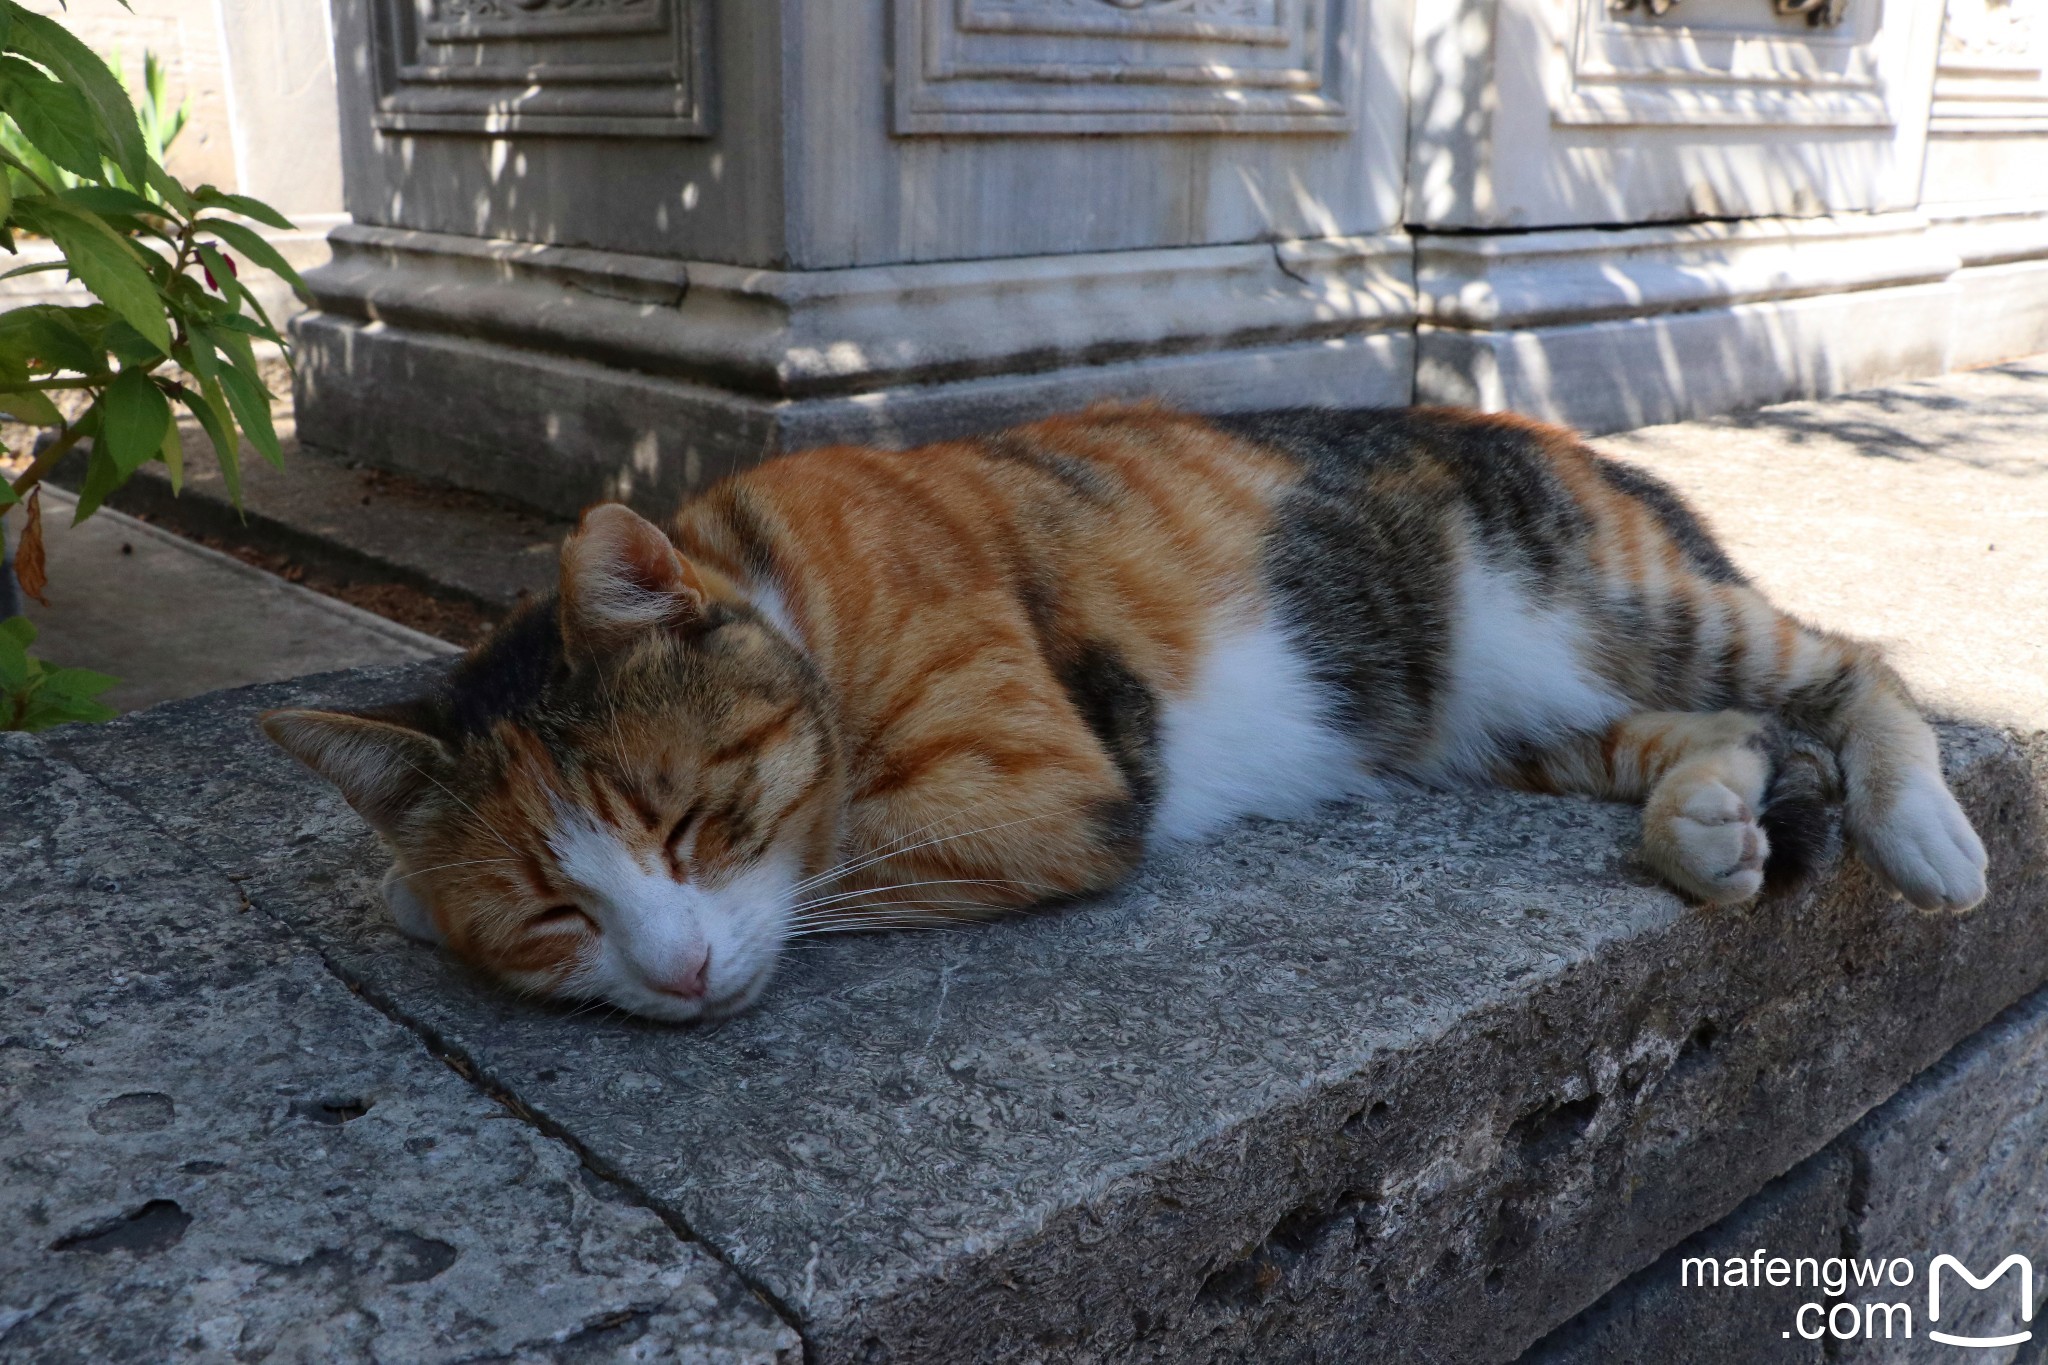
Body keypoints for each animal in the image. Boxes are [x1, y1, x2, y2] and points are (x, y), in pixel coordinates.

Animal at [256, 405, 1982, 1023]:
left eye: (687, 817)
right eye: (553, 910)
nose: (674, 976)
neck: (784, 584)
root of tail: (1598, 451)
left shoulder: (1048, 773)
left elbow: (843, 849)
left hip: (1615, 601)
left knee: (1852, 664)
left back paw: (1925, 830)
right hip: (1499, 706)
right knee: (1705, 733)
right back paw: (1707, 825)